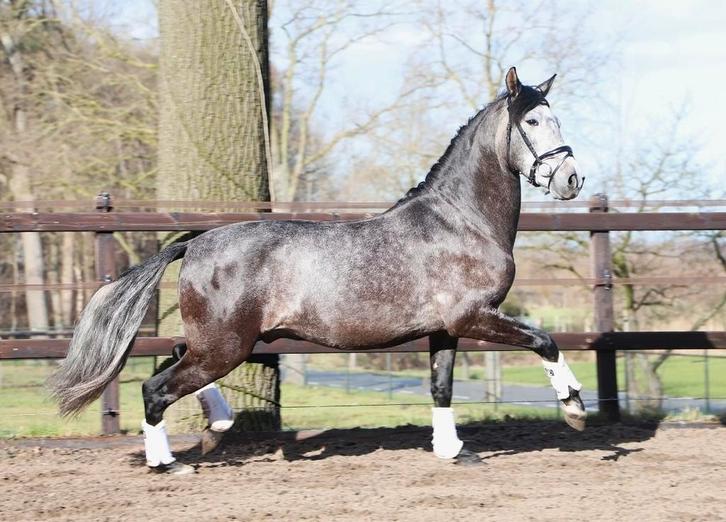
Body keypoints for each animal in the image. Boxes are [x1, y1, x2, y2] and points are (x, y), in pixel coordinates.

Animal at [50, 67, 586, 474]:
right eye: (534, 120)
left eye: (558, 119)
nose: (572, 179)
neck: (461, 221)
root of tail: (195, 243)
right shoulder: (474, 316)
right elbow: (544, 339)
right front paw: (574, 407)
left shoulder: (445, 329)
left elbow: (441, 386)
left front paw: (453, 450)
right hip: (227, 344)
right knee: (156, 387)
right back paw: (168, 462)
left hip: (219, 341)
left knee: (176, 359)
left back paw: (216, 427)